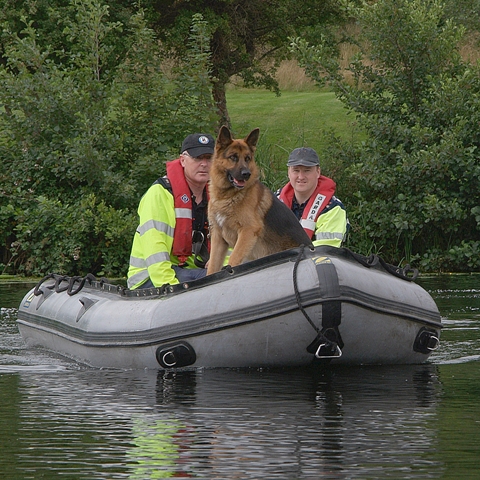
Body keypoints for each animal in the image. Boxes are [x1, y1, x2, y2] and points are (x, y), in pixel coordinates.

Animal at [207, 125, 316, 274]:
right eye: (233, 157)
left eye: (247, 158)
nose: (246, 174)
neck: (227, 196)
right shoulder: (218, 238)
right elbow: (212, 267)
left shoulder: (248, 231)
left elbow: (234, 259)